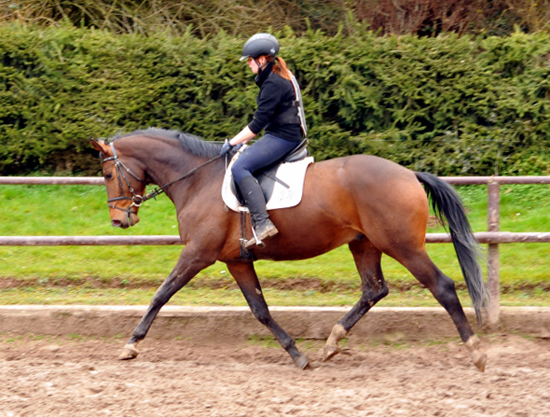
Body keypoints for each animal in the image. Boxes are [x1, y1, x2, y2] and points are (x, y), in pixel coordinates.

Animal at [91, 127, 492, 370]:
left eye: (109, 174)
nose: (119, 220)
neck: (198, 179)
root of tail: (409, 174)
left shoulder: (197, 254)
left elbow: (161, 294)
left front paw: (131, 344)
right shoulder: (236, 261)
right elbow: (261, 310)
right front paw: (297, 353)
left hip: (402, 245)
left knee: (442, 287)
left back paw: (476, 352)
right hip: (364, 245)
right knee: (373, 290)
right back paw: (332, 342)